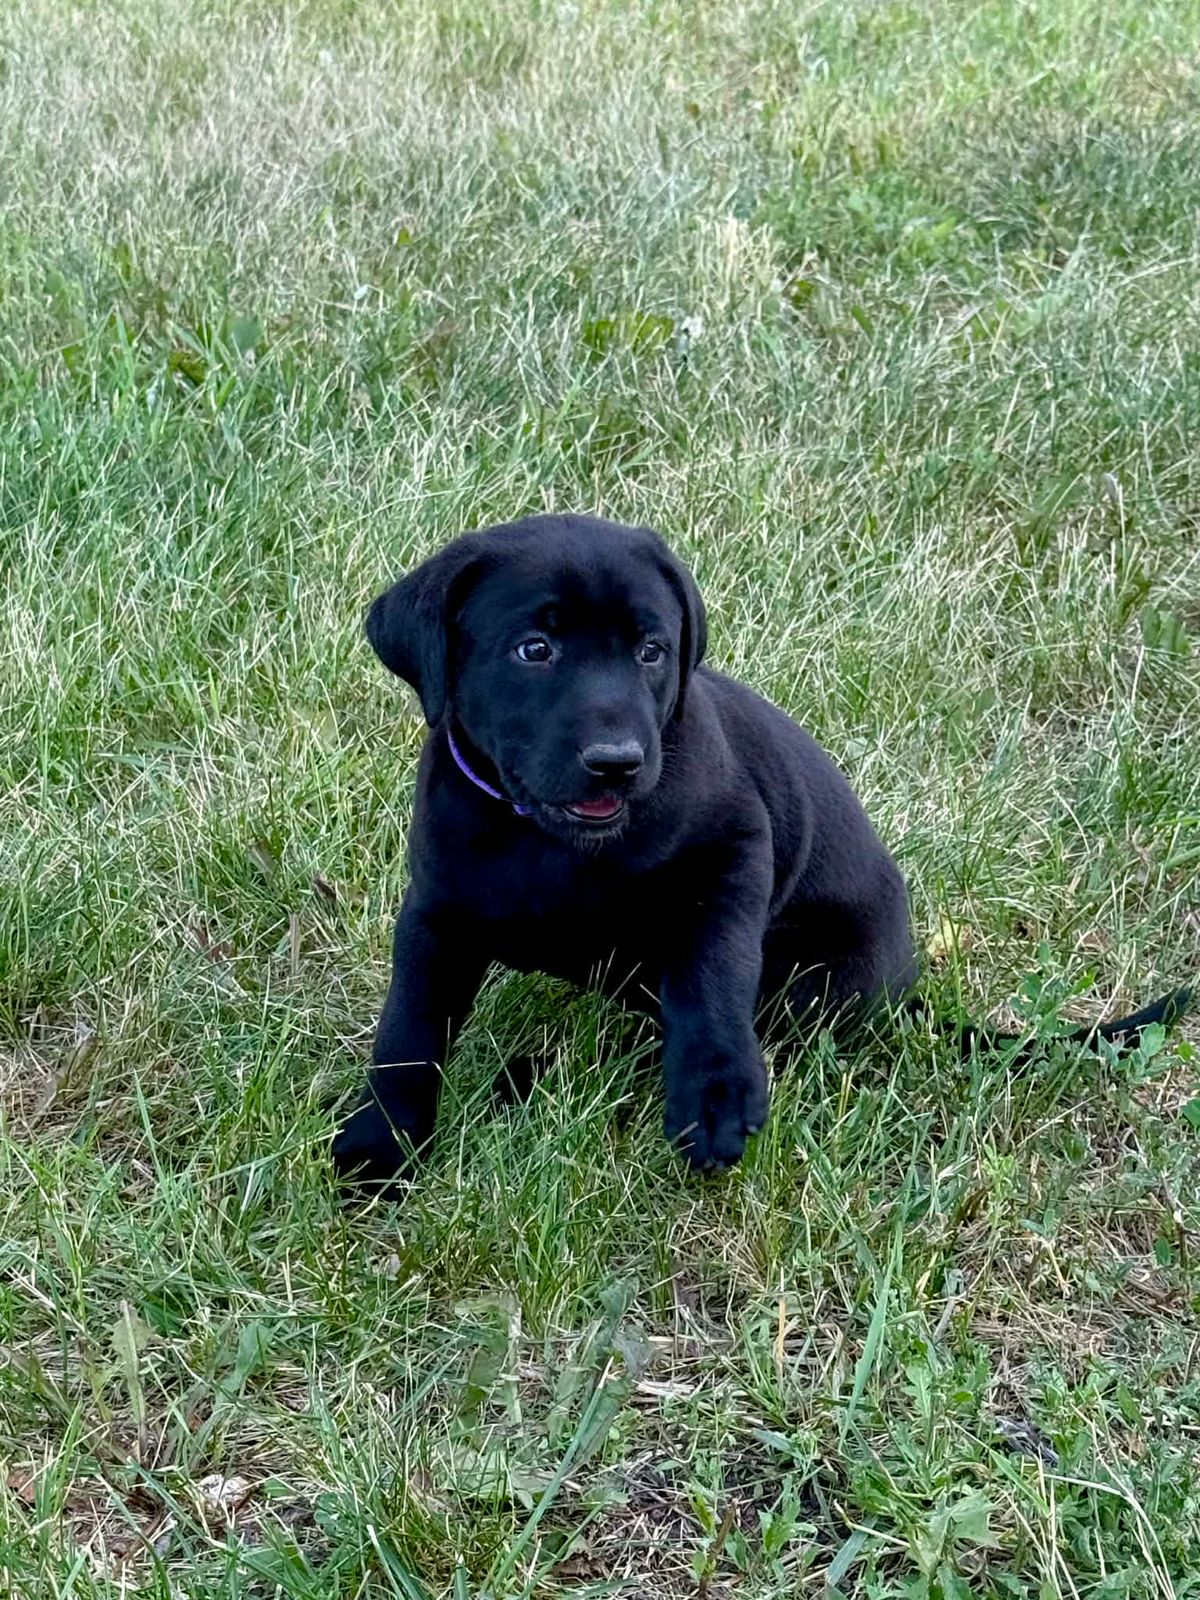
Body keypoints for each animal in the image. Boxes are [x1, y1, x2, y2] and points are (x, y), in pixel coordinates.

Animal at [332, 513, 1190, 1189]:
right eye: (534, 649)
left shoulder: (729, 859)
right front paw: (381, 1147)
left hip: (809, 980)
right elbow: (408, 1031)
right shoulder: (436, 915)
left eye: (651, 651)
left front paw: (716, 1096)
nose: (618, 762)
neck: (554, 841)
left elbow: (709, 982)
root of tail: (902, 993)